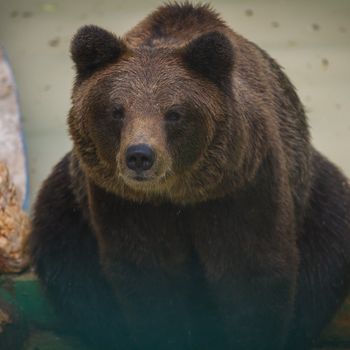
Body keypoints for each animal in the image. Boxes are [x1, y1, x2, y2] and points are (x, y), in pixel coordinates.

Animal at [28, 2, 350, 350]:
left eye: (174, 113)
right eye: (117, 110)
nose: (139, 156)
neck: (180, 193)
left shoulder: (242, 187)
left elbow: (252, 274)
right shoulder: (126, 202)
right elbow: (151, 277)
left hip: (317, 195)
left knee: (328, 251)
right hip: (69, 206)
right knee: (70, 267)